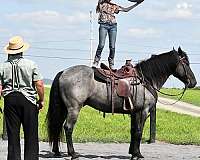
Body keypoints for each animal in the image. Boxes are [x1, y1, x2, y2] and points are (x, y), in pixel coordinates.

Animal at [47, 47, 197, 159]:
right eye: (186, 63)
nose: (194, 83)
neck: (146, 79)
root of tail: (63, 72)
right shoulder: (143, 111)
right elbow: (139, 131)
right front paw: (137, 154)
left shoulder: (134, 112)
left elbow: (133, 131)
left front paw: (132, 152)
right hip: (74, 108)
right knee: (68, 127)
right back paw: (73, 154)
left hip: (65, 108)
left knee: (58, 125)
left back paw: (57, 152)